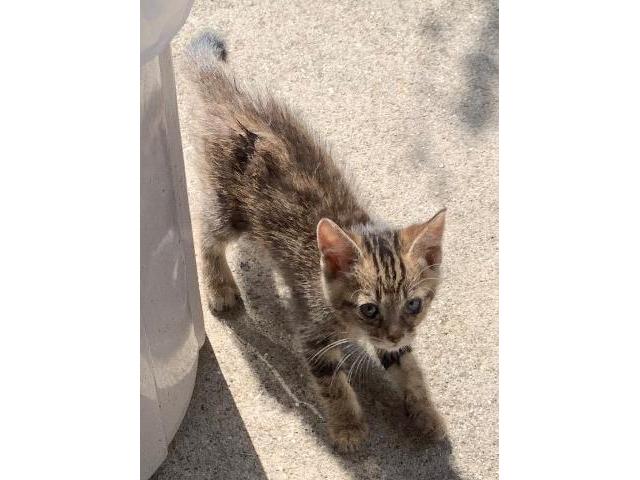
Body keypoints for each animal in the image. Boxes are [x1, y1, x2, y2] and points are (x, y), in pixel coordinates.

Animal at [184, 31, 444, 452]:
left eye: (414, 304)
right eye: (368, 309)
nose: (392, 333)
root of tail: (233, 98)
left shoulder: (397, 342)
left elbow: (409, 368)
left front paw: (426, 414)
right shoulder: (312, 332)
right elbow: (333, 384)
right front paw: (348, 427)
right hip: (229, 210)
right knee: (206, 234)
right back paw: (220, 286)